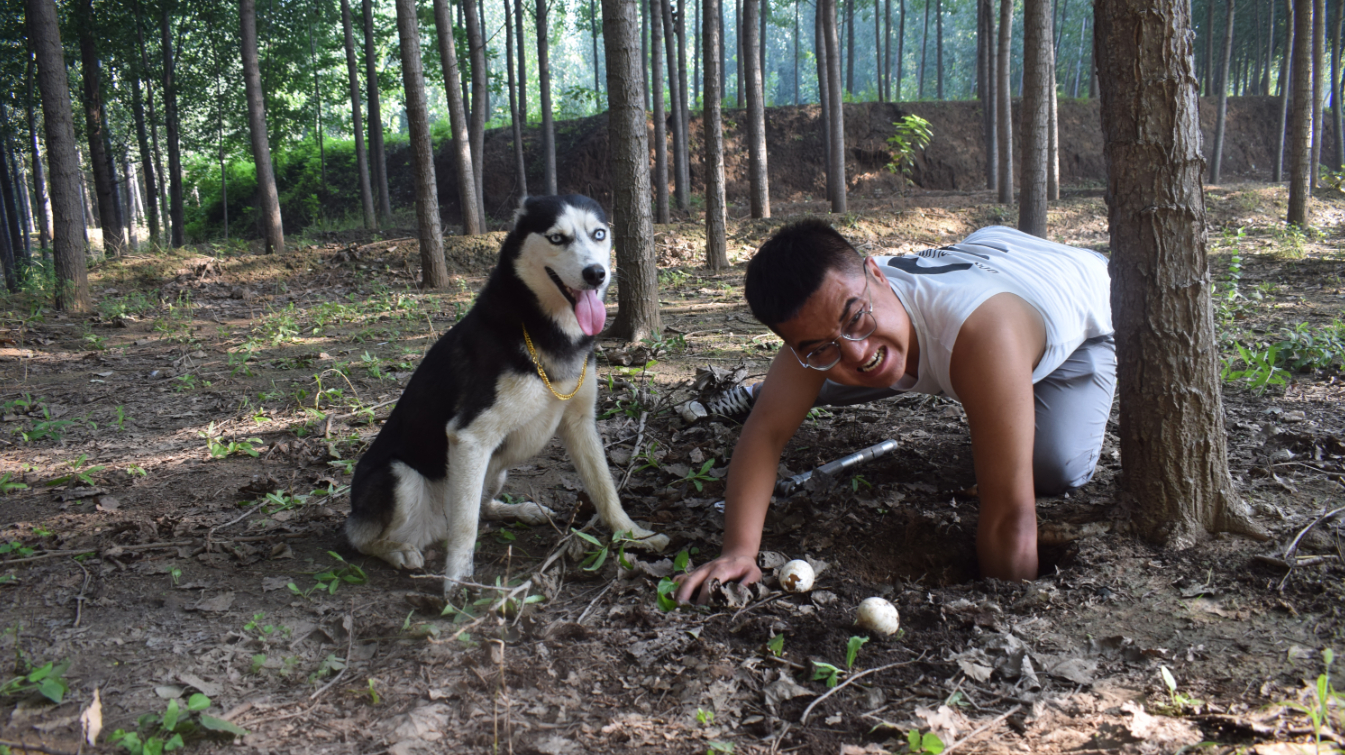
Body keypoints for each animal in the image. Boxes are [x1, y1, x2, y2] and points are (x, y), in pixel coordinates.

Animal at [344, 192, 664, 589]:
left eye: (599, 234)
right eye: (557, 238)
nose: (595, 274)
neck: (545, 328)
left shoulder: (580, 423)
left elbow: (605, 489)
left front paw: (633, 534)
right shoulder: (469, 436)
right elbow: (465, 526)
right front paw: (458, 581)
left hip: (495, 468)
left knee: (481, 507)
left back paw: (521, 510)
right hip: (399, 476)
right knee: (364, 537)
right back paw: (396, 549)